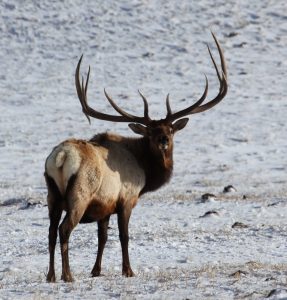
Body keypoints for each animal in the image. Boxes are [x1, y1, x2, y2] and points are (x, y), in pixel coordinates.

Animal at [45, 33, 228, 284]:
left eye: (171, 129)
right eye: (150, 132)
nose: (163, 140)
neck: (145, 171)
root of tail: (61, 157)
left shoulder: (104, 207)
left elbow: (102, 238)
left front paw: (96, 270)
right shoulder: (127, 198)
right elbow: (124, 236)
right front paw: (128, 270)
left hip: (52, 195)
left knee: (50, 232)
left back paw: (51, 275)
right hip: (79, 194)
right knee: (64, 229)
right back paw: (67, 275)